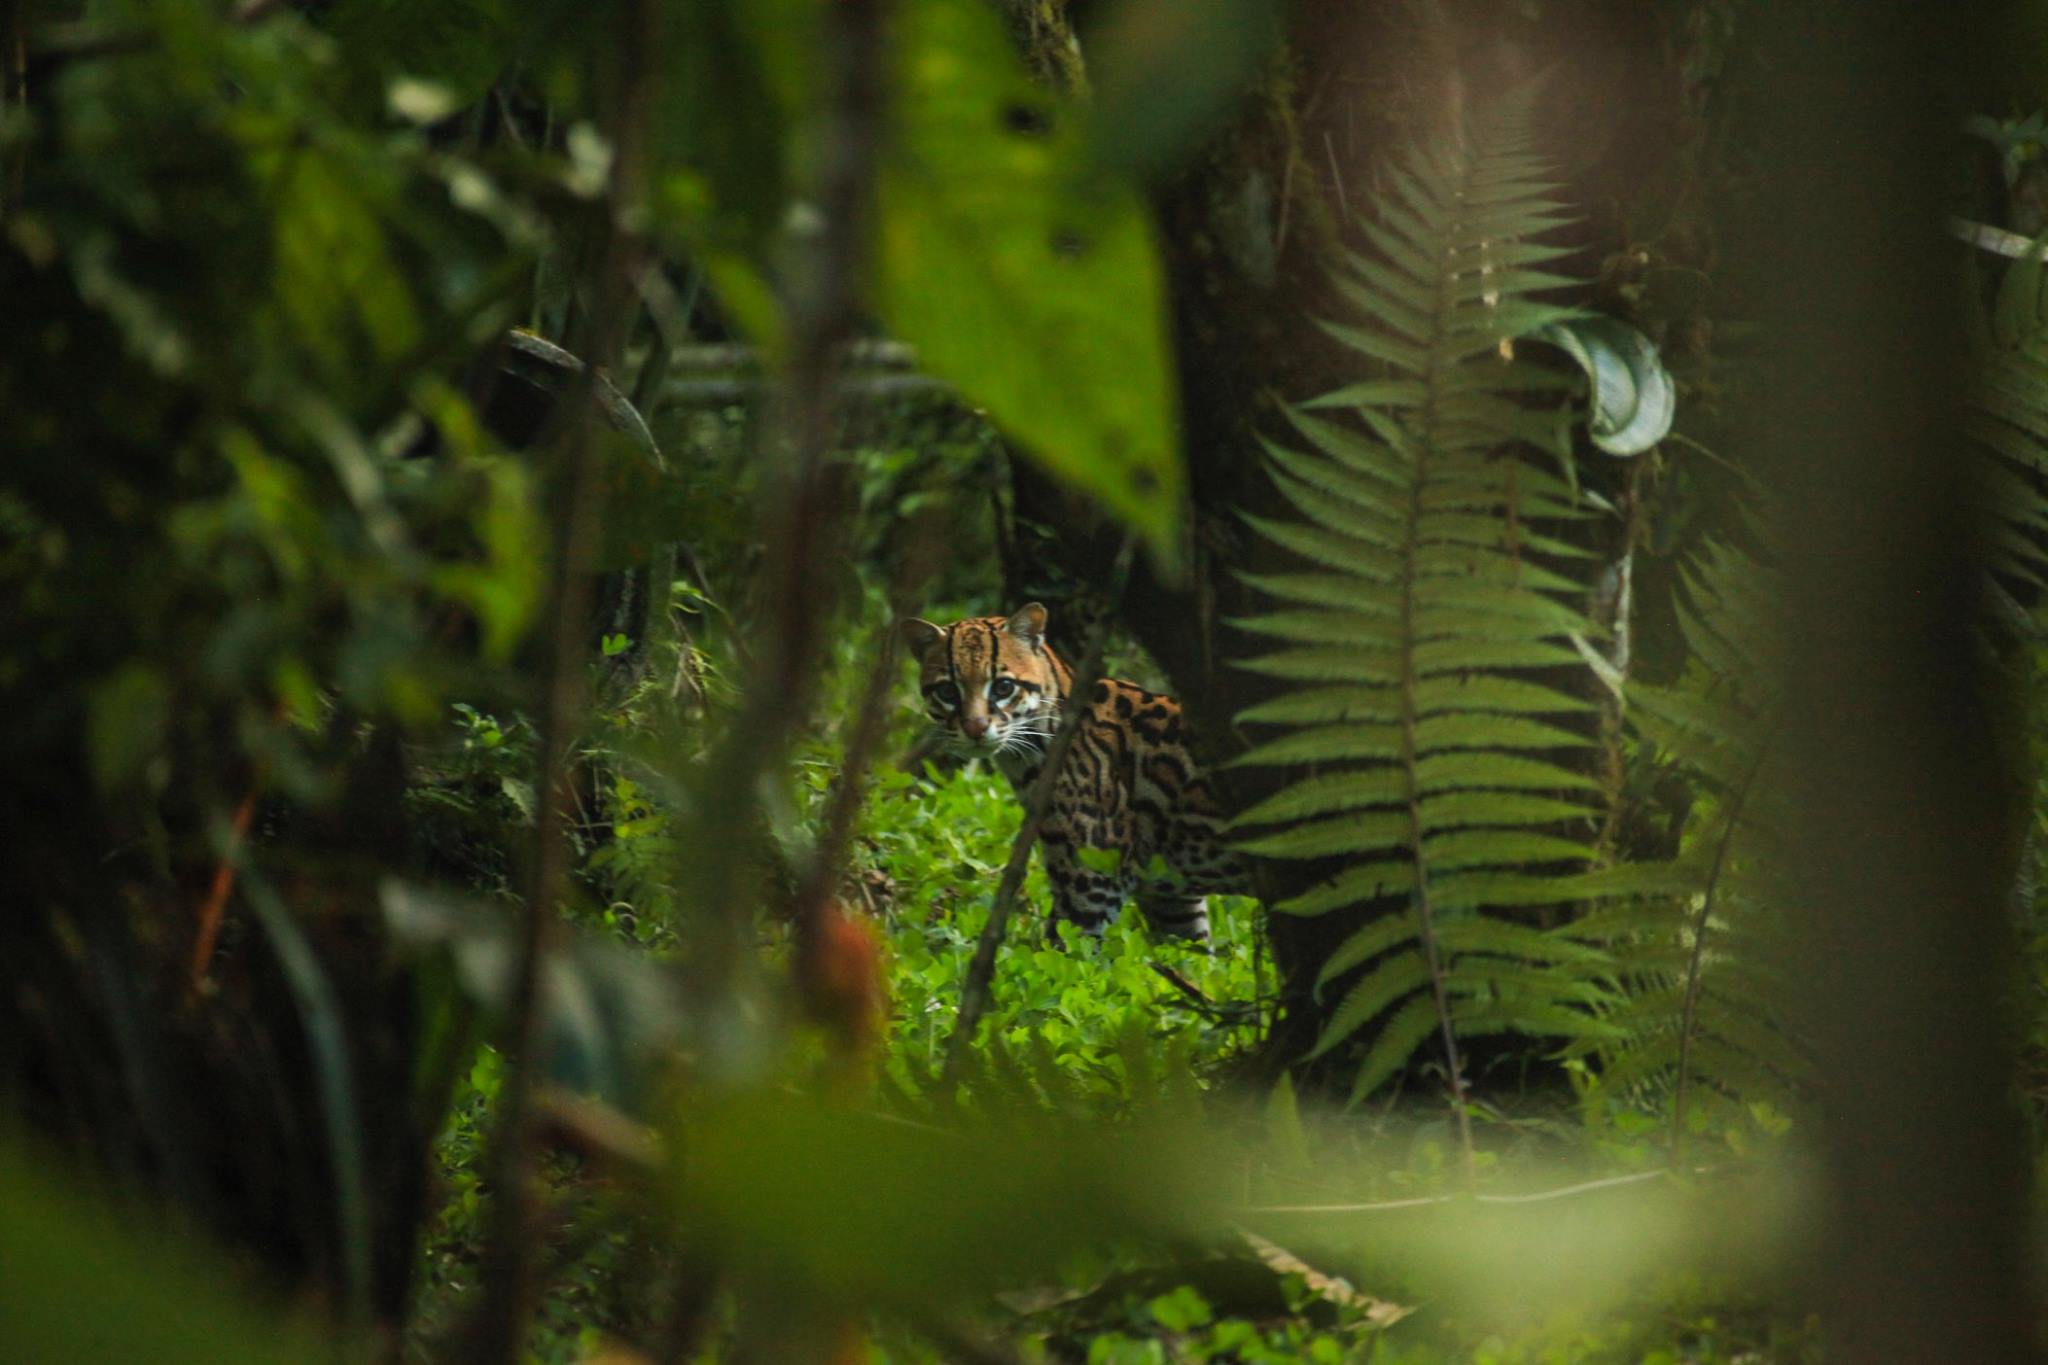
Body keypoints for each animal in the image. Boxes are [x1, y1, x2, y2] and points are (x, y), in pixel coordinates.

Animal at [905, 601, 1253, 945]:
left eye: (1004, 687)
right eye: (948, 692)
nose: (975, 728)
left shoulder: (1090, 881)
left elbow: (1060, 953)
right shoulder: (1170, 897)